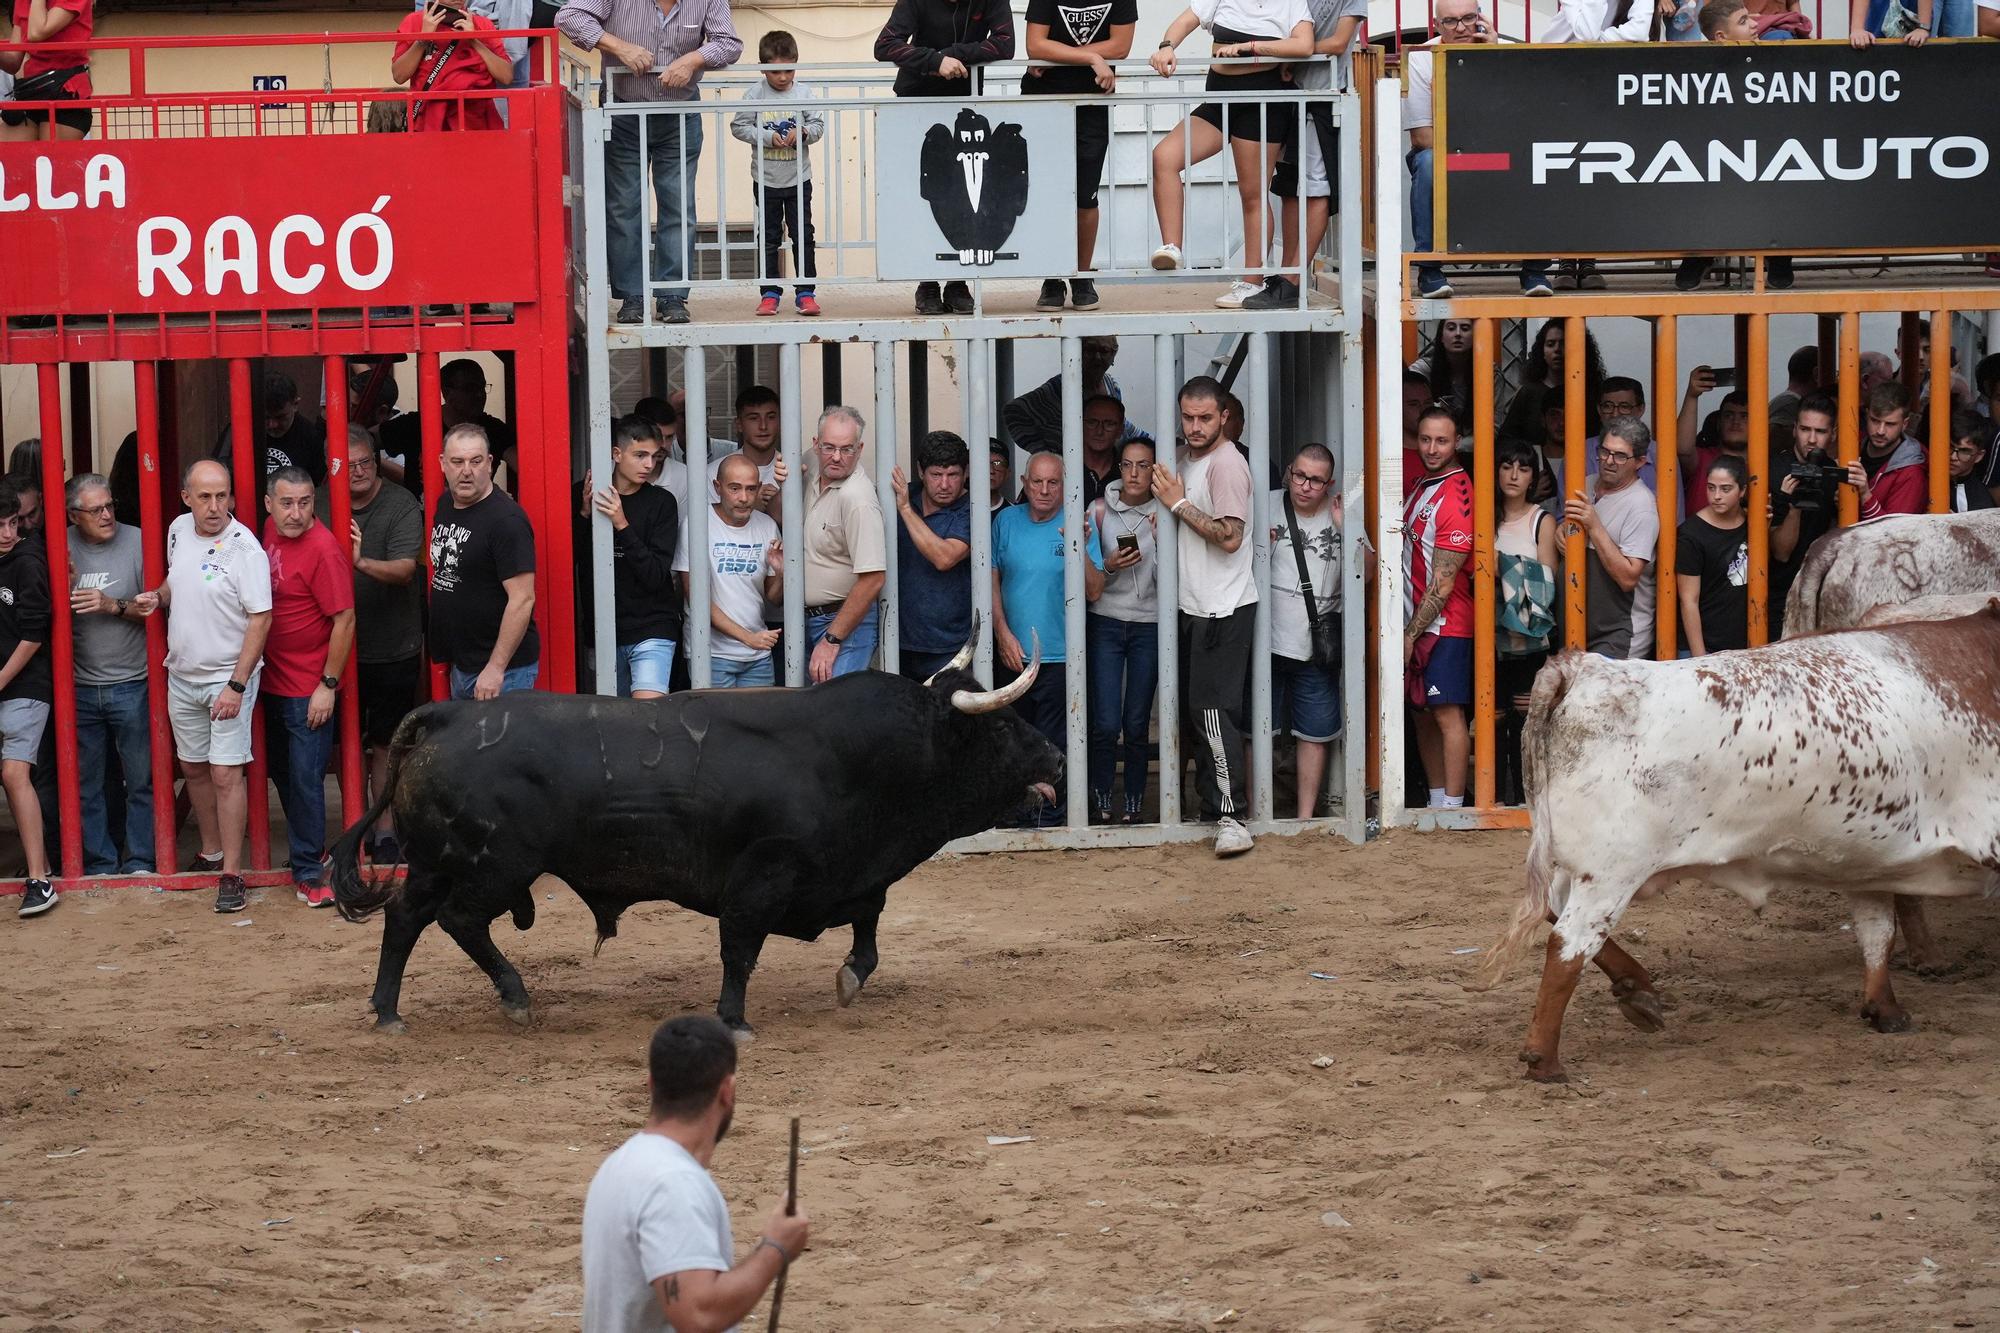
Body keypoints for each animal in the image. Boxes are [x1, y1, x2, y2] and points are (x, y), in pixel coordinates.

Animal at [332, 648, 1064, 1032]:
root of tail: (447, 716)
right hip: (494, 866)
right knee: (458, 920)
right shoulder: (761, 875)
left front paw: (851, 977)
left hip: (434, 862)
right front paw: (734, 1019)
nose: (1057, 758)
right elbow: (740, 950)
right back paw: (514, 995)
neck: (854, 757)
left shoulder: (851, 874)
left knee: (404, 918)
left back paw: (387, 1009)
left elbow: (869, 929)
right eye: (1002, 727)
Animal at [1480, 604, 2000, 1080]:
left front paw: (1883, 1009)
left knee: (1552, 914)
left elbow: (1877, 933)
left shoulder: (1867, 860)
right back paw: (1545, 1060)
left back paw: (1637, 990)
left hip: (1578, 866)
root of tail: (1585, 667)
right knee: (1568, 946)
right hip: (1610, 873)